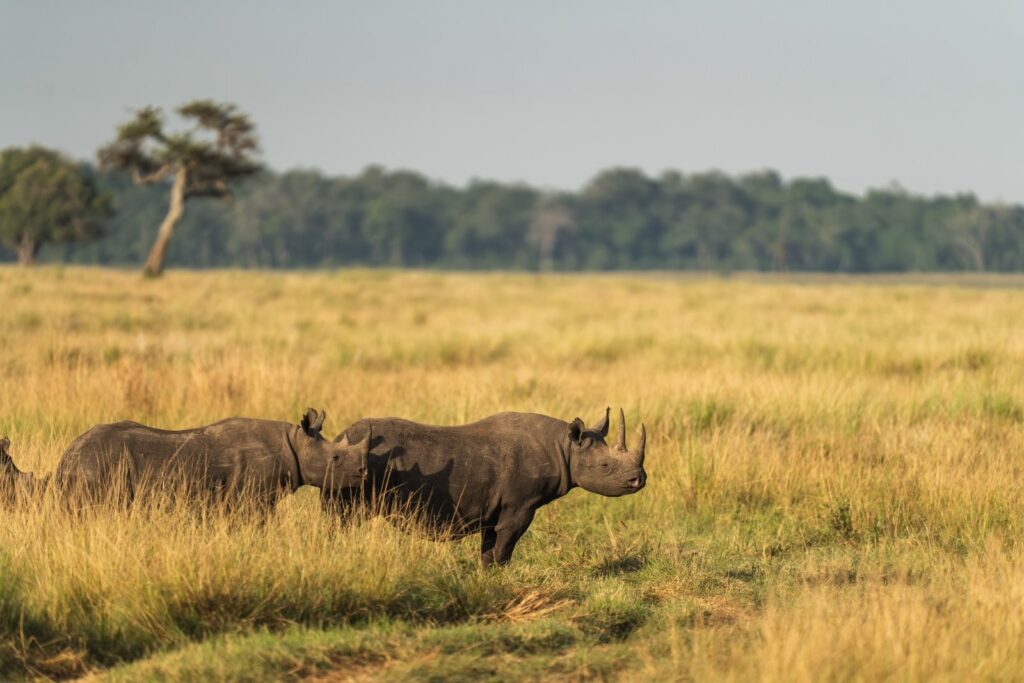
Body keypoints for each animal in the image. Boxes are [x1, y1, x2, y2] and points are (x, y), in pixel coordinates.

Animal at [1, 409, 369, 508]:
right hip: (96, 468)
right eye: (337, 458)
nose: (364, 473)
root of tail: (66, 459)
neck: (295, 440)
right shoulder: (253, 499)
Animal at [323, 408, 647, 566]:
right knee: (343, 520)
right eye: (605, 467)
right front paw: (498, 577)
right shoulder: (521, 505)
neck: (564, 446)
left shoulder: (496, 507)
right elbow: (504, 548)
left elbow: (490, 547)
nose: (639, 480)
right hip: (352, 468)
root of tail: (339, 438)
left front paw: (485, 576)